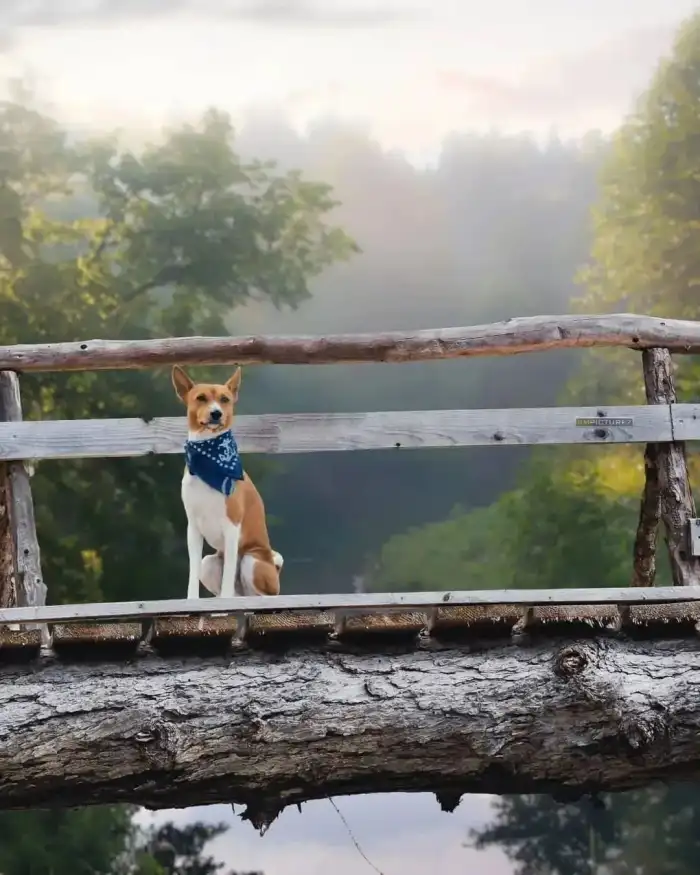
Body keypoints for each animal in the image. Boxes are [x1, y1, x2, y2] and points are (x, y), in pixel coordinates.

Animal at [172, 364, 282, 604]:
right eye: (201, 398)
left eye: (225, 399)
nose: (216, 413)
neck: (209, 457)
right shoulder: (193, 527)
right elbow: (193, 571)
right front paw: (192, 600)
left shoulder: (232, 527)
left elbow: (229, 575)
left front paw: (225, 601)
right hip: (209, 563)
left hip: (252, 561)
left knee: (258, 594)